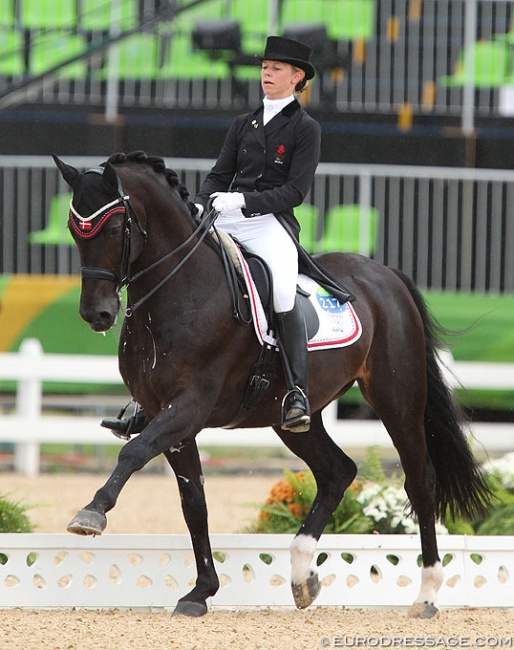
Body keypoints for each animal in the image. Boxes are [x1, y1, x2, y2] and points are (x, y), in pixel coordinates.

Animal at [54, 149, 490, 616]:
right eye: (74, 229)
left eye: (116, 228)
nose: (96, 314)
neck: (179, 291)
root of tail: (385, 274)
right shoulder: (165, 415)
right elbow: (194, 502)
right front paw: (200, 592)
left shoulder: (189, 405)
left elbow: (133, 453)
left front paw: (91, 513)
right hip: (294, 418)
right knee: (337, 471)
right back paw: (303, 576)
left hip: (398, 399)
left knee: (419, 480)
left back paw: (426, 594)